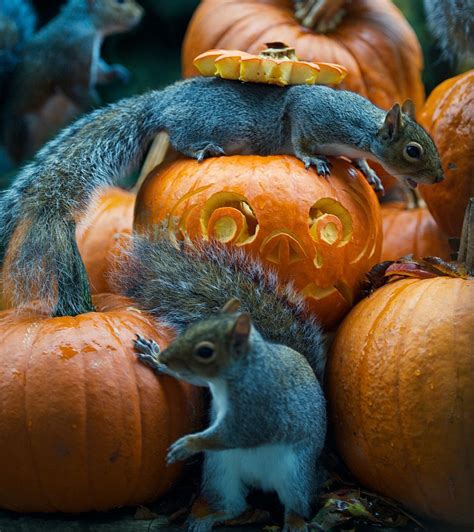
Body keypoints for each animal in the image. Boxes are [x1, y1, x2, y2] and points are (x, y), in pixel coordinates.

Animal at [0, 75, 444, 316]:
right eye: (413, 150)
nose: (439, 176)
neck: (363, 130)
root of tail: (160, 101)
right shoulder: (312, 115)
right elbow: (299, 135)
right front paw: (312, 159)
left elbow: (358, 162)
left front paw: (368, 173)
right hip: (195, 124)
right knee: (179, 137)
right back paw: (203, 149)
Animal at [126, 238, 326, 532]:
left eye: (205, 351)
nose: (167, 356)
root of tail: (260, 480)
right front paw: (155, 358)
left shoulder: (260, 411)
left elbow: (235, 434)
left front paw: (188, 444)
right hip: (221, 473)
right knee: (235, 506)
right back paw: (203, 519)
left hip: (296, 475)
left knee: (296, 505)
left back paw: (296, 523)